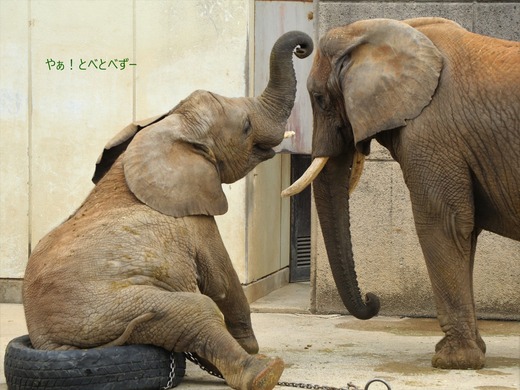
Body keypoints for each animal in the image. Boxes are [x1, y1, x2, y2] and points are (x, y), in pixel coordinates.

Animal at [22, 31, 310, 390]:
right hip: (113, 307)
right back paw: (264, 371)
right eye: (245, 127)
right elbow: (223, 279)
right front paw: (251, 345)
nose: (303, 46)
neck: (169, 128)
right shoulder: (195, 219)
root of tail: (49, 343)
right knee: (196, 311)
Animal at [284, 18, 520, 370]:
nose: (372, 299)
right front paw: (464, 353)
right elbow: (465, 232)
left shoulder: (431, 132)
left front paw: (452, 362)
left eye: (320, 98)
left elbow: (445, 224)